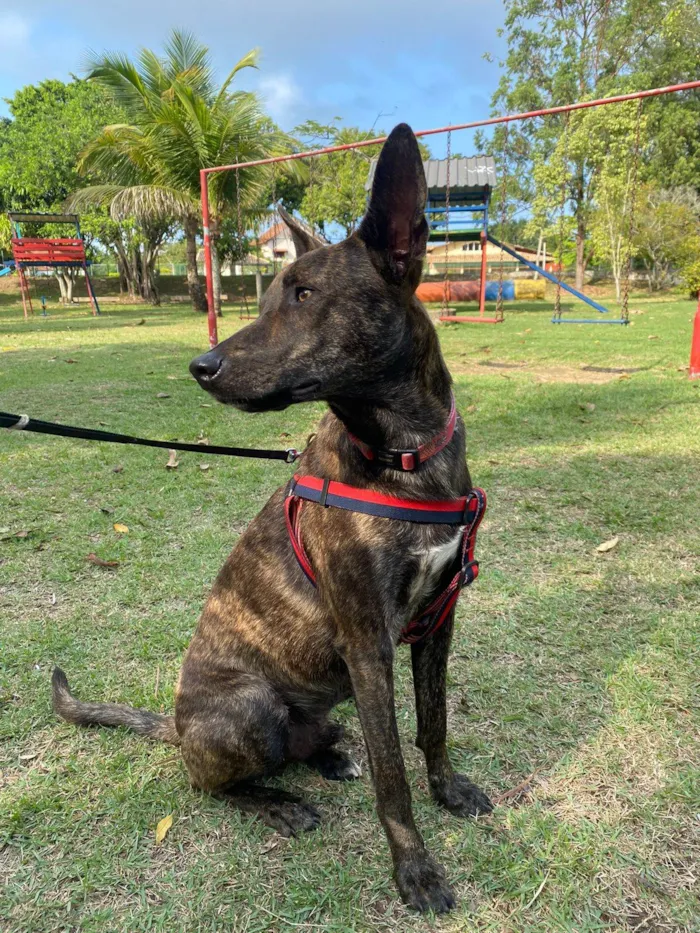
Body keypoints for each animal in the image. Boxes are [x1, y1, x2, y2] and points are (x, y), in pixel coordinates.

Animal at [53, 122, 492, 912]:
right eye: (264, 301)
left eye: (307, 294)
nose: (200, 367)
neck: (404, 457)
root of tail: (176, 724)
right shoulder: (368, 643)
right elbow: (393, 776)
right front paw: (415, 868)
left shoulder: (438, 625)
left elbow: (432, 727)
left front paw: (449, 790)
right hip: (251, 705)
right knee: (214, 784)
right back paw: (279, 803)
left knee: (310, 744)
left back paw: (330, 758)